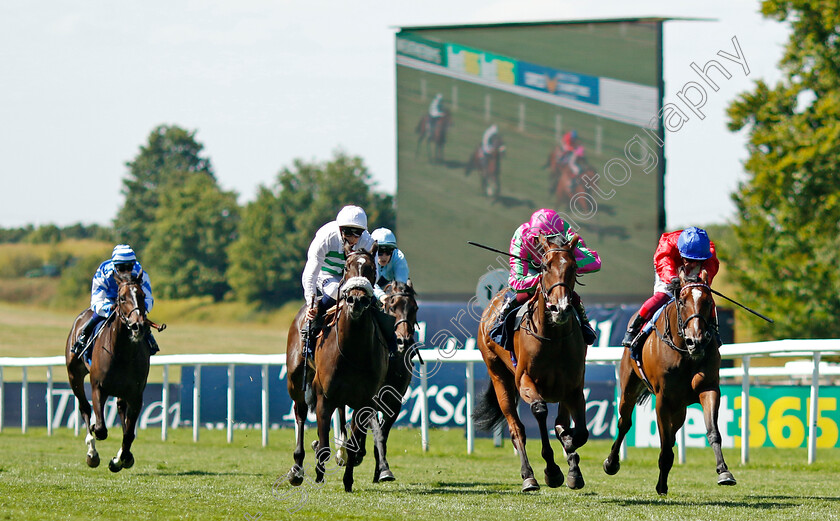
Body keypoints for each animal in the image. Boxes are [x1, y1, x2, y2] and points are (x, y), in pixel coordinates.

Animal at [64, 268, 156, 472]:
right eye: (121, 298)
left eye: (142, 295)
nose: (138, 326)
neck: (122, 353)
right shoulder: (98, 387)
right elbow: (100, 429)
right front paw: (96, 441)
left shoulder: (136, 394)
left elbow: (129, 433)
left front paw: (120, 459)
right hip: (74, 375)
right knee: (84, 408)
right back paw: (92, 452)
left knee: (121, 411)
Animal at [282, 242, 388, 490]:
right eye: (347, 267)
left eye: (371, 269)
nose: (356, 300)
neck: (353, 350)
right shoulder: (324, 397)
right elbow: (323, 446)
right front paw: (319, 476)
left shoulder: (364, 402)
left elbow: (353, 445)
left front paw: (348, 480)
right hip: (296, 381)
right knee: (300, 414)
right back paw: (297, 468)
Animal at [472, 235, 592, 492]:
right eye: (545, 267)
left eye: (573, 267)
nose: (560, 308)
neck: (554, 337)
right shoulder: (525, 380)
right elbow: (540, 411)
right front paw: (552, 470)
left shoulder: (573, 386)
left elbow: (579, 432)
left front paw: (572, 462)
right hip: (499, 377)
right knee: (516, 428)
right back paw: (529, 476)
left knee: (560, 423)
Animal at [604, 268, 736, 496]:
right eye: (682, 301)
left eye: (708, 301)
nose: (696, 341)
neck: (685, 352)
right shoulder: (663, 399)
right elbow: (664, 446)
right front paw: (661, 485)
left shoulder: (708, 389)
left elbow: (713, 432)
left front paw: (724, 472)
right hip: (629, 386)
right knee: (624, 422)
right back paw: (611, 463)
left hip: (680, 408)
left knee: (673, 434)